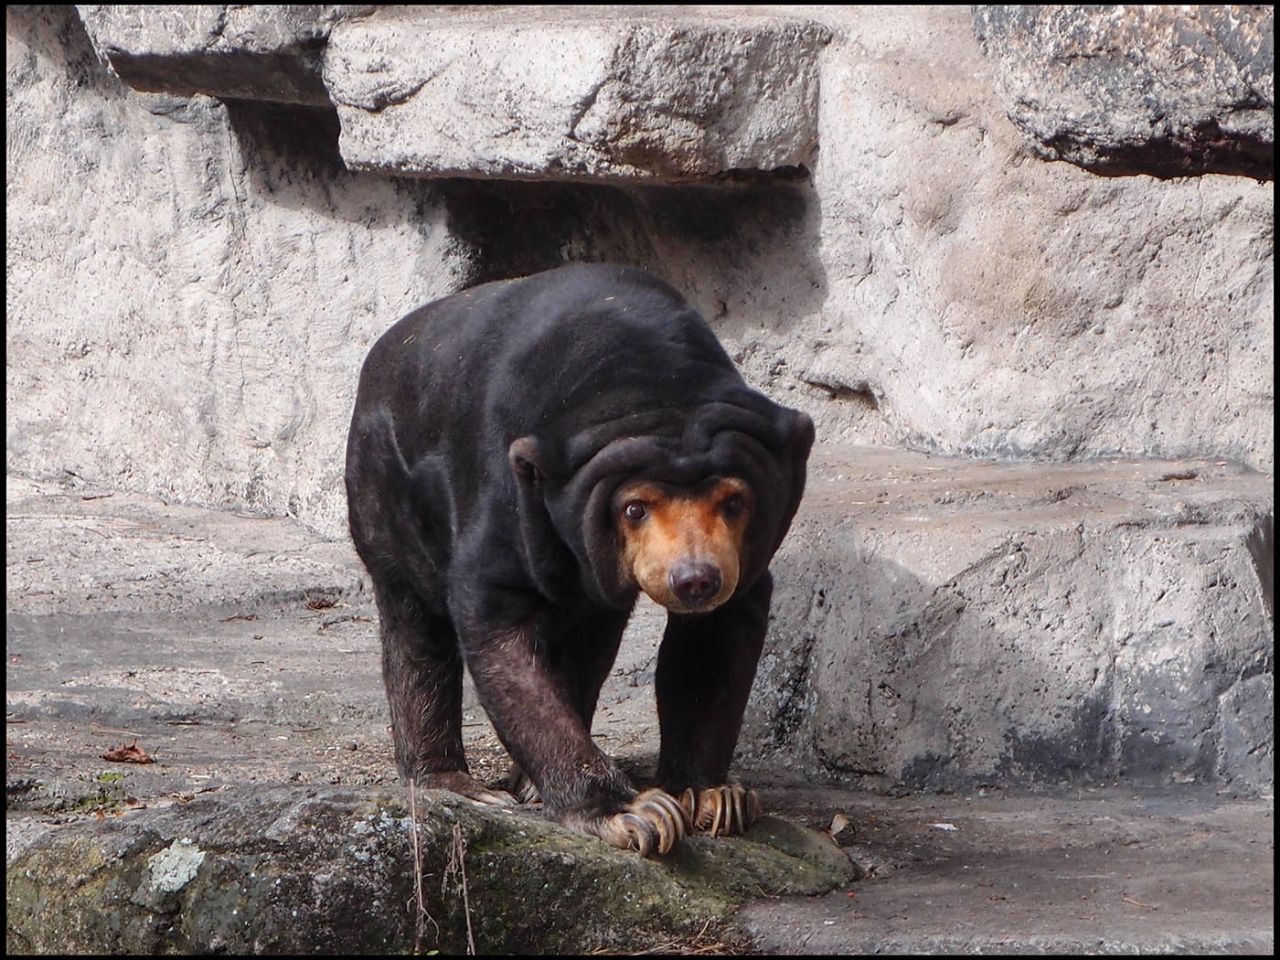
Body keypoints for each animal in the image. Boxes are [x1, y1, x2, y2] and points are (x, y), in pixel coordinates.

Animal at [345, 261, 814, 855]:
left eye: (733, 501)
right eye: (635, 508)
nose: (695, 580)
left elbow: (715, 642)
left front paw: (712, 797)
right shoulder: (509, 495)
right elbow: (500, 634)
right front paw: (634, 813)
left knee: (589, 636)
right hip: (384, 493)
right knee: (416, 629)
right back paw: (452, 781)